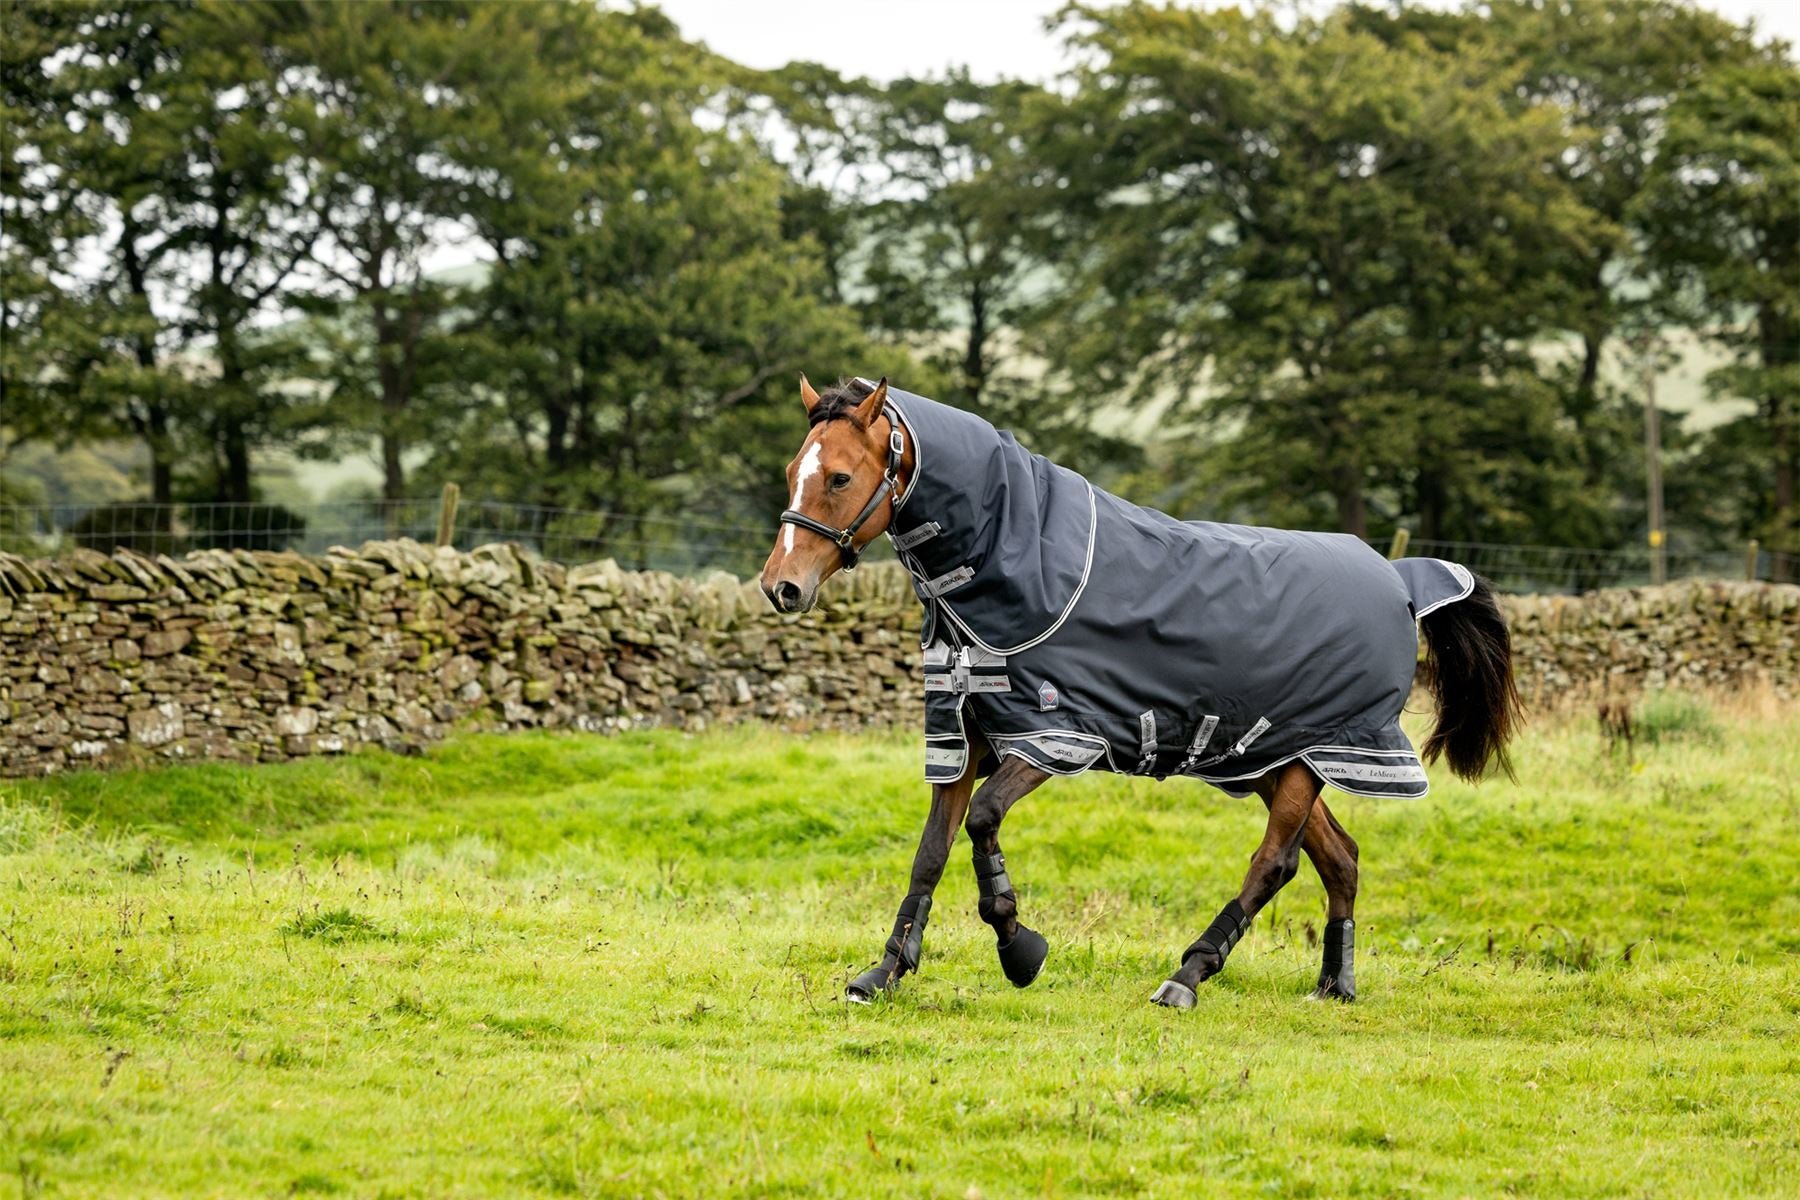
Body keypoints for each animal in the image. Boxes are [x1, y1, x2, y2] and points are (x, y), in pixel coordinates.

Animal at [759, 375, 1521, 1008]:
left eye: (839, 476)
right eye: (793, 473)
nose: (781, 587)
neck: (1016, 565)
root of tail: (1400, 579)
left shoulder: (1055, 737)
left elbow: (983, 820)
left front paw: (1019, 948)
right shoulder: (962, 738)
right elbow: (931, 854)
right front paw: (885, 972)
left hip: (1318, 753)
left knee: (1274, 863)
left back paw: (1188, 976)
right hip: (1274, 758)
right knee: (1341, 860)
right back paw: (1335, 984)